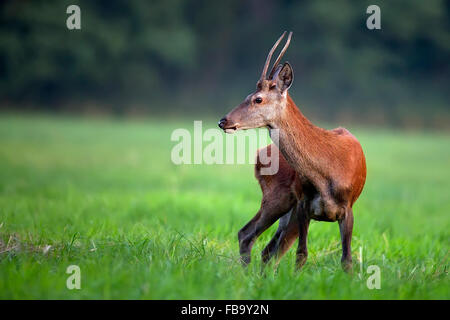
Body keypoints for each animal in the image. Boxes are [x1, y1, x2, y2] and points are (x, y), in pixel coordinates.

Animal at [220, 31, 368, 272]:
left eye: (257, 99)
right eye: (247, 95)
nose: (223, 121)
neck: (327, 172)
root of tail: (259, 155)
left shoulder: (347, 208)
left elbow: (346, 260)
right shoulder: (304, 205)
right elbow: (301, 254)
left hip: (285, 208)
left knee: (268, 248)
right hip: (277, 197)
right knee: (248, 235)